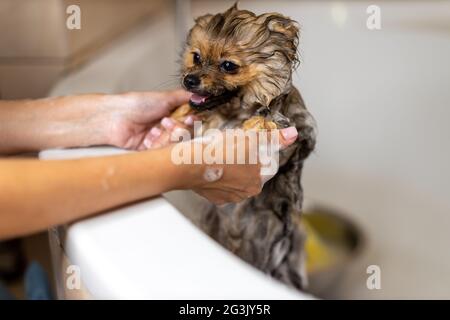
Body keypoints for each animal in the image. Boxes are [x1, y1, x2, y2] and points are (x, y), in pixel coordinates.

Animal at [172, 2, 316, 288]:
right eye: (196, 57)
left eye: (228, 65)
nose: (190, 80)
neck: (232, 114)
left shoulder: (302, 129)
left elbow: (272, 120)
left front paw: (256, 124)